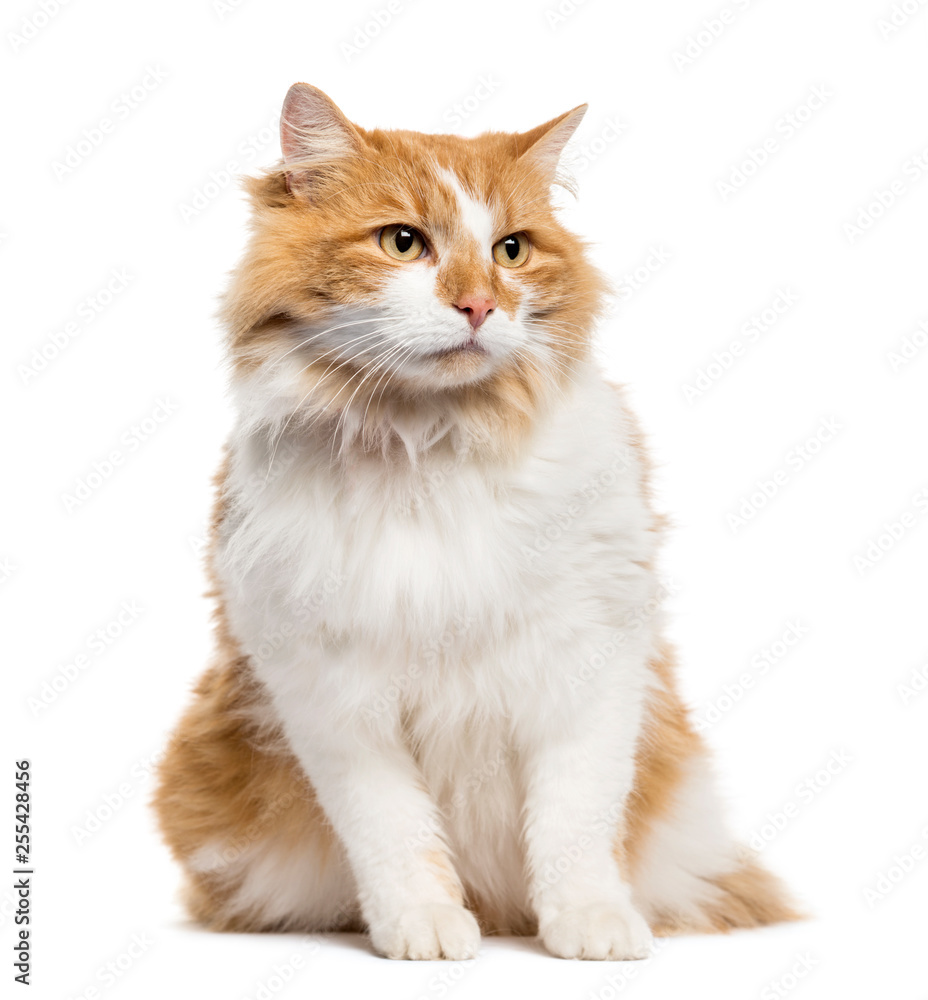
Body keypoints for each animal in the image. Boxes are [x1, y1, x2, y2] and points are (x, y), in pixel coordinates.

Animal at [152, 84, 796, 960]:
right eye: (403, 243)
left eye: (512, 250)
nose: (480, 305)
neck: (431, 443)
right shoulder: (329, 690)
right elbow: (397, 834)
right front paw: (422, 925)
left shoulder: (591, 660)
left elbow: (573, 823)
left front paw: (589, 924)